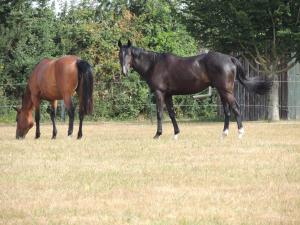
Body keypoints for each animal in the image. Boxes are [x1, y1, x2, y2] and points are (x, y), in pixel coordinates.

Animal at [118, 40, 272, 139]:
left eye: (129, 54)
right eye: (120, 54)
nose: (124, 72)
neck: (154, 64)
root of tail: (230, 58)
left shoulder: (159, 93)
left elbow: (160, 114)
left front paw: (157, 134)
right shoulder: (168, 95)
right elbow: (172, 114)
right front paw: (176, 133)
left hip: (226, 91)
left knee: (236, 108)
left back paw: (240, 133)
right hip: (222, 91)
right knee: (227, 111)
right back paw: (224, 134)